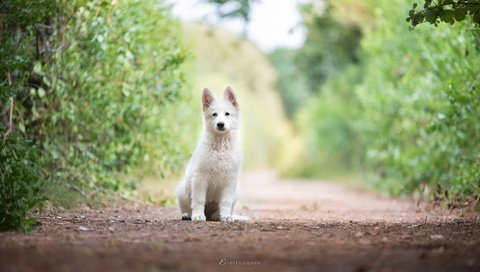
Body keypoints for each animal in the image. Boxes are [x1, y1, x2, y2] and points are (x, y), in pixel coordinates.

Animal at [175, 86, 246, 221]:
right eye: (214, 114)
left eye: (227, 114)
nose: (220, 124)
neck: (221, 145)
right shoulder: (200, 177)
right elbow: (198, 200)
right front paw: (198, 215)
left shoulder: (230, 180)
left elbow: (226, 202)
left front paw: (225, 217)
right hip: (182, 191)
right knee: (188, 206)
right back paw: (188, 215)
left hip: (236, 193)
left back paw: (218, 216)